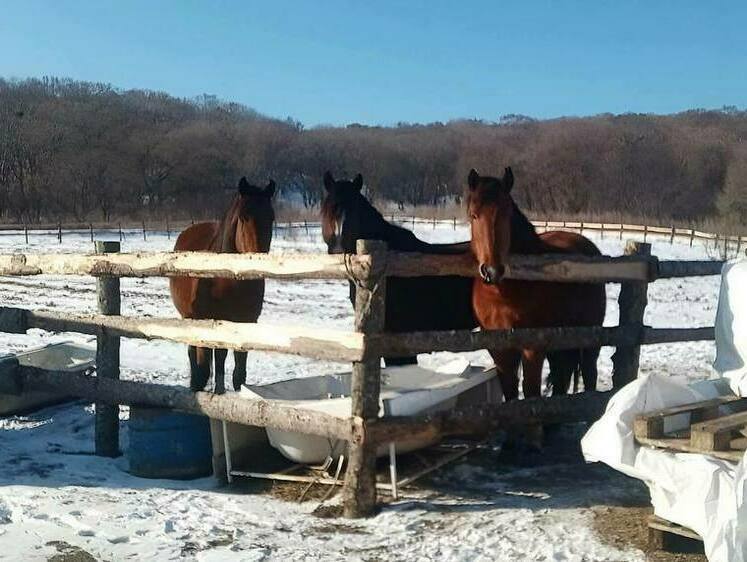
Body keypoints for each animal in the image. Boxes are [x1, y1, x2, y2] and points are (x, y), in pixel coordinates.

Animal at [169, 177, 274, 392]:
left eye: (272, 218)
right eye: (243, 216)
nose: (258, 262)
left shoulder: (246, 322)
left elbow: (238, 374)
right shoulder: (203, 322)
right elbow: (202, 369)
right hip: (189, 318)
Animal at [470, 168, 604, 400]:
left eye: (506, 214)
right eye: (474, 215)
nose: (492, 271)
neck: (502, 295)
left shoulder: (533, 347)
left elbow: (531, 392)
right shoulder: (500, 349)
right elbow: (510, 391)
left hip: (589, 340)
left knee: (589, 374)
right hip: (560, 345)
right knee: (562, 377)